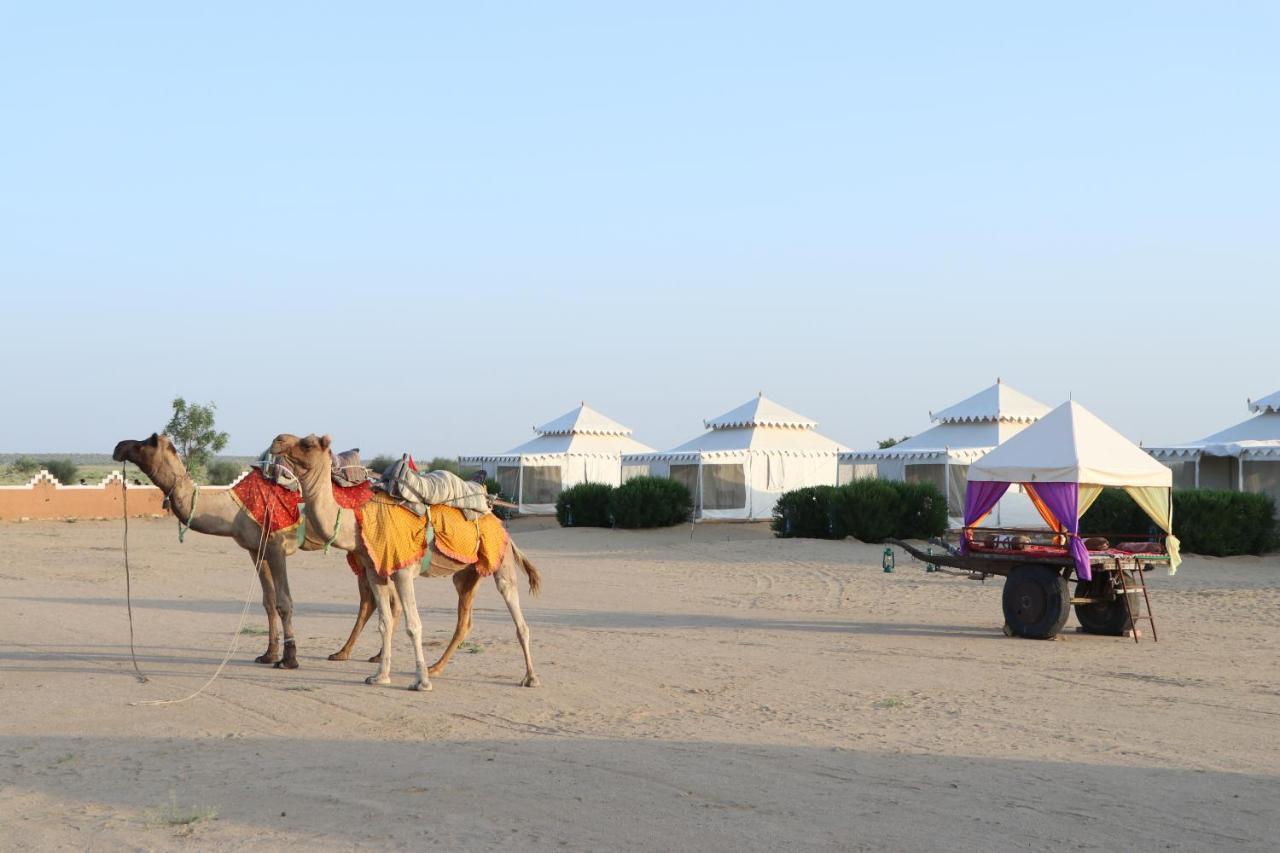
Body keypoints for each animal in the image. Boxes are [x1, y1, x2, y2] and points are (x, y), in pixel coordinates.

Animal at [113, 435, 394, 666]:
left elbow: (284, 602)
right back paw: (347, 653)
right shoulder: (256, 550)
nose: (119, 446)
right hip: (360, 551)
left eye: (147, 441)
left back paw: (372, 655)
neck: (232, 510)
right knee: (374, 599)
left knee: (382, 597)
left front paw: (289, 658)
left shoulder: (276, 547)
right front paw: (268, 654)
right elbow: (268, 601)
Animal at [272, 432, 542, 691]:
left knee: (518, 618)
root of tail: (500, 523)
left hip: (501, 561)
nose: (277, 440)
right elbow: (384, 622)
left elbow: (413, 625)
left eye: (307, 443)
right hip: (466, 574)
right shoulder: (375, 572)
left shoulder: (402, 571)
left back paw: (530, 677)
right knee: (464, 621)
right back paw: (436, 667)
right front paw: (380, 676)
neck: (357, 523)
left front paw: (420, 682)